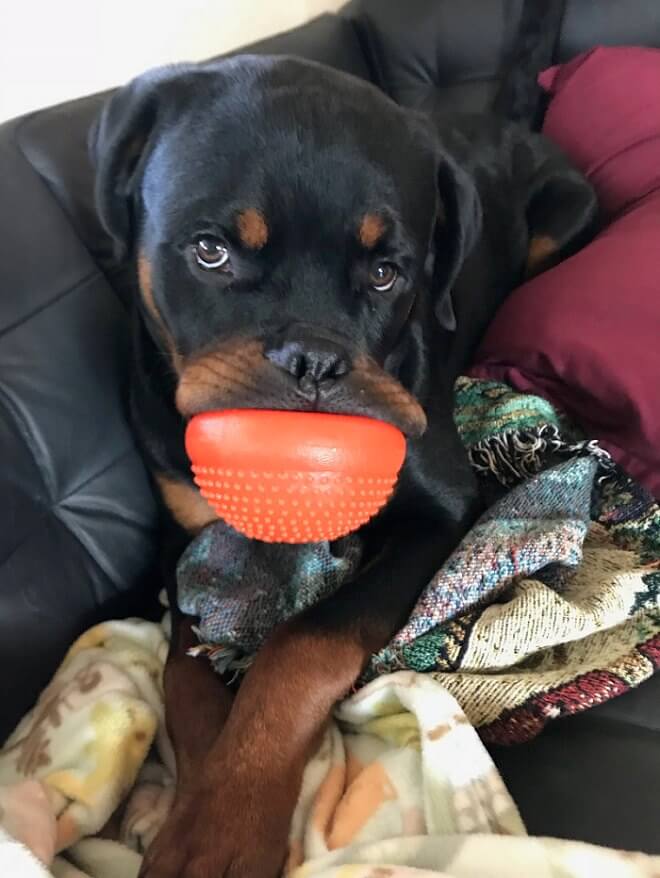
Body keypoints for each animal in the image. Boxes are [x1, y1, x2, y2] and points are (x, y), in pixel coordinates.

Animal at [89, 56, 600, 878]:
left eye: (388, 272)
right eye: (210, 251)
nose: (313, 361)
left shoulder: (438, 514)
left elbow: (304, 644)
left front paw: (226, 819)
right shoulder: (182, 536)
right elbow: (183, 668)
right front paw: (197, 791)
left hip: (566, 216)